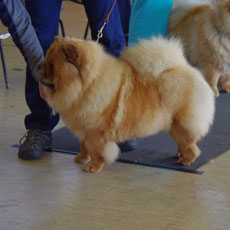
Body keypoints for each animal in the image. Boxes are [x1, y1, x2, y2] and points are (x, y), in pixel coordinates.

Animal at [39, 36, 214, 172]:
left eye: (52, 66)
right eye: (46, 59)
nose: (39, 66)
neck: (86, 86)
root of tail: (184, 67)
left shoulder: (96, 133)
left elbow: (97, 151)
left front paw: (93, 167)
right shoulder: (83, 129)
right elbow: (84, 146)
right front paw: (81, 158)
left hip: (180, 123)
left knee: (190, 144)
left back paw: (187, 160)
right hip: (173, 124)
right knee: (183, 142)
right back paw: (180, 154)